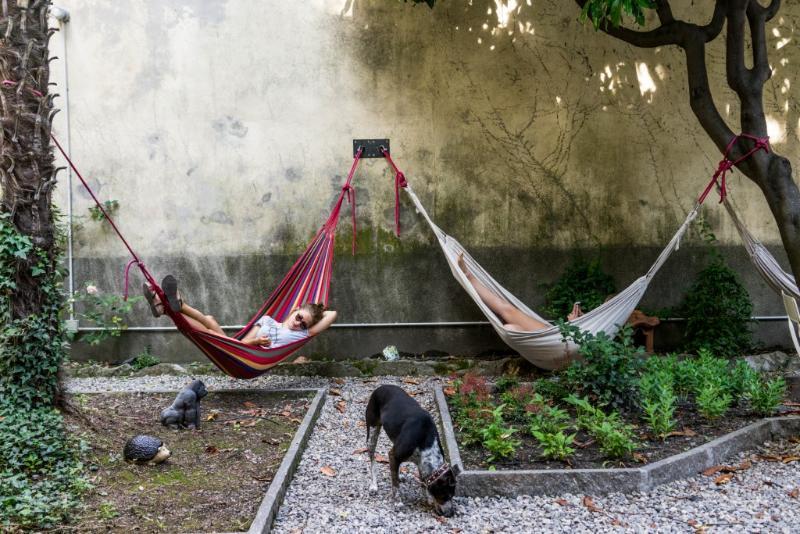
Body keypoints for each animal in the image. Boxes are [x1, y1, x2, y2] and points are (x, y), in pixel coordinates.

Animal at [366, 388, 460, 516]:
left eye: (452, 495)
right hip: (372, 432)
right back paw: (374, 485)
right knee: (372, 458)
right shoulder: (394, 455)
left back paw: (399, 475)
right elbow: (395, 485)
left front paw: (427, 498)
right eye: (445, 496)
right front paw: (398, 502)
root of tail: (380, 387)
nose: (451, 513)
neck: (425, 441)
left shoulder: (420, 462)